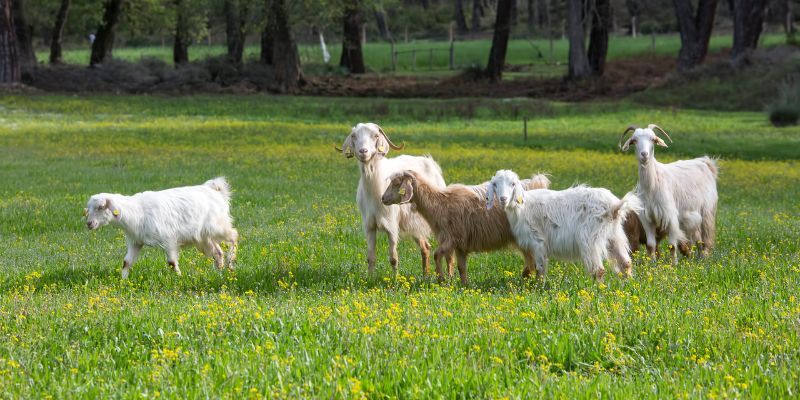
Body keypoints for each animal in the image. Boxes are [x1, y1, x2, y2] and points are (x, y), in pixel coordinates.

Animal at [86, 178, 241, 278]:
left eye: (101, 207)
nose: (89, 224)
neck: (137, 212)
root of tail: (215, 190)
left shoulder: (169, 240)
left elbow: (171, 262)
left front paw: (179, 278)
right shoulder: (136, 242)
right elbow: (126, 262)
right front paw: (123, 280)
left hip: (217, 226)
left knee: (234, 235)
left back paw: (230, 264)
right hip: (204, 237)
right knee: (218, 252)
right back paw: (218, 272)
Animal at [382, 170, 552, 286]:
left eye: (396, 184)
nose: (383, 198)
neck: (439, 203)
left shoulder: (452, 238)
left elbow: (437, 255)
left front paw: (441, 279)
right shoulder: (460, 245)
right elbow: (461, 267)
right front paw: (463, 285)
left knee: (534, 261)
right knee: (531, 261)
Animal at [484, 170, 640, 282]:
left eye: (513, 184)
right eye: (495, 184)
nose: (503, 199)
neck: (522, 206)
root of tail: (614, 206)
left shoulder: (537, 241)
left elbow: (540, 268)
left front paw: (538, 287)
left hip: (589, 238)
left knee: (599, 270)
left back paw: (597, 291)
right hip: (614, 236)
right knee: (625, 263)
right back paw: (628, 285)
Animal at [620, 123, 720, 264]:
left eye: (653, 139)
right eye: (634, 140)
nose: (644, 155)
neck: (652, 186)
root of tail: (705, 162)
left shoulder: (670, 216)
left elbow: (672, 245)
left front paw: (674, 264)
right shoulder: (647, 218)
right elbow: (651, 245)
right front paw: (652, 264)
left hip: (707, 211)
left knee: (705, 238)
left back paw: (703, 258)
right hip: (691, 217)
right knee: (698, 238)